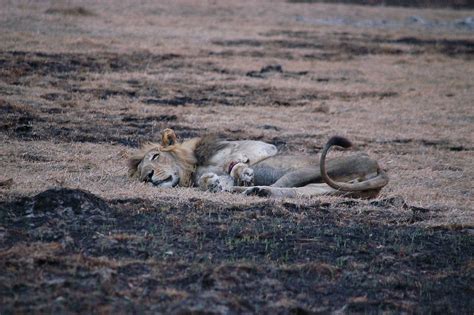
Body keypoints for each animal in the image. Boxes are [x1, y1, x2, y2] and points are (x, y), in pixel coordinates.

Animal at [128, 129, 386, 199]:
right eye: (140, 173)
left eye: (155, 156)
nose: (148, 176)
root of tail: (378, 168)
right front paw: (211, 183)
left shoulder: (260, 147)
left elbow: (239, 161)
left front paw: (242, 171)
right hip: (321, 186)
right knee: (294, 192)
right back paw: (255, 190)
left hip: (308, 169)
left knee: (284, 186)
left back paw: (250, 188)